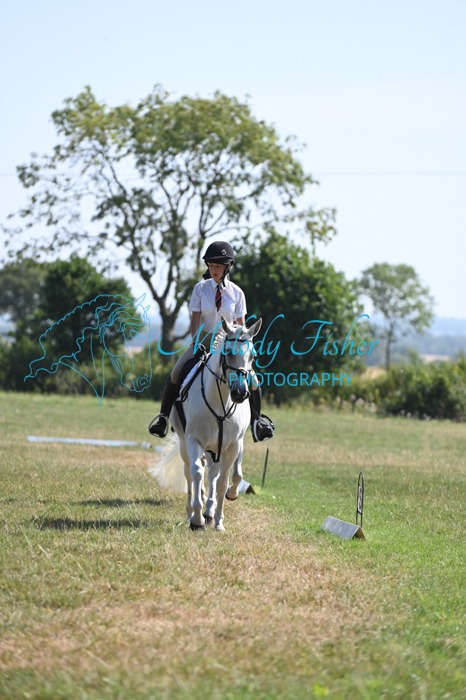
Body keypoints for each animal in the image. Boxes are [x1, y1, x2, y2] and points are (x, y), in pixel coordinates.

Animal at [150, 316, 262, 531]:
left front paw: (218, 520)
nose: (240, 393)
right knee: (190, 471)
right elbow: (196, 472)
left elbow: (225, 480)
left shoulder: (233, 445)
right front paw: (196, 519)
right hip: (186, 443)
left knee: (214, 474)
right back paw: (192, 512)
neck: (221, 403)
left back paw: (209, 512)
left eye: (253, 356)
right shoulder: (194, 440)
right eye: (228, 352)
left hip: (215, 447)